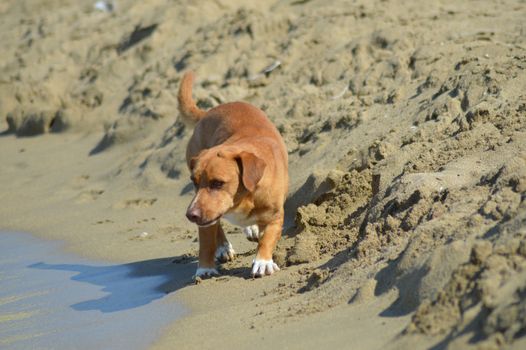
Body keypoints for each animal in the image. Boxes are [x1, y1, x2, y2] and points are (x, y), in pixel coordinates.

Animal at [180, 72, 288, 278]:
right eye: (194, 182)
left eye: (217, 183)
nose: (190, 215)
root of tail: (207, 113)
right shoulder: (206, 219)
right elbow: (206, 243)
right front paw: (205, 268)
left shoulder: (275, 216)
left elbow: (268, 239)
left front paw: (262, 262)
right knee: (216, 228)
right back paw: (223, 247)